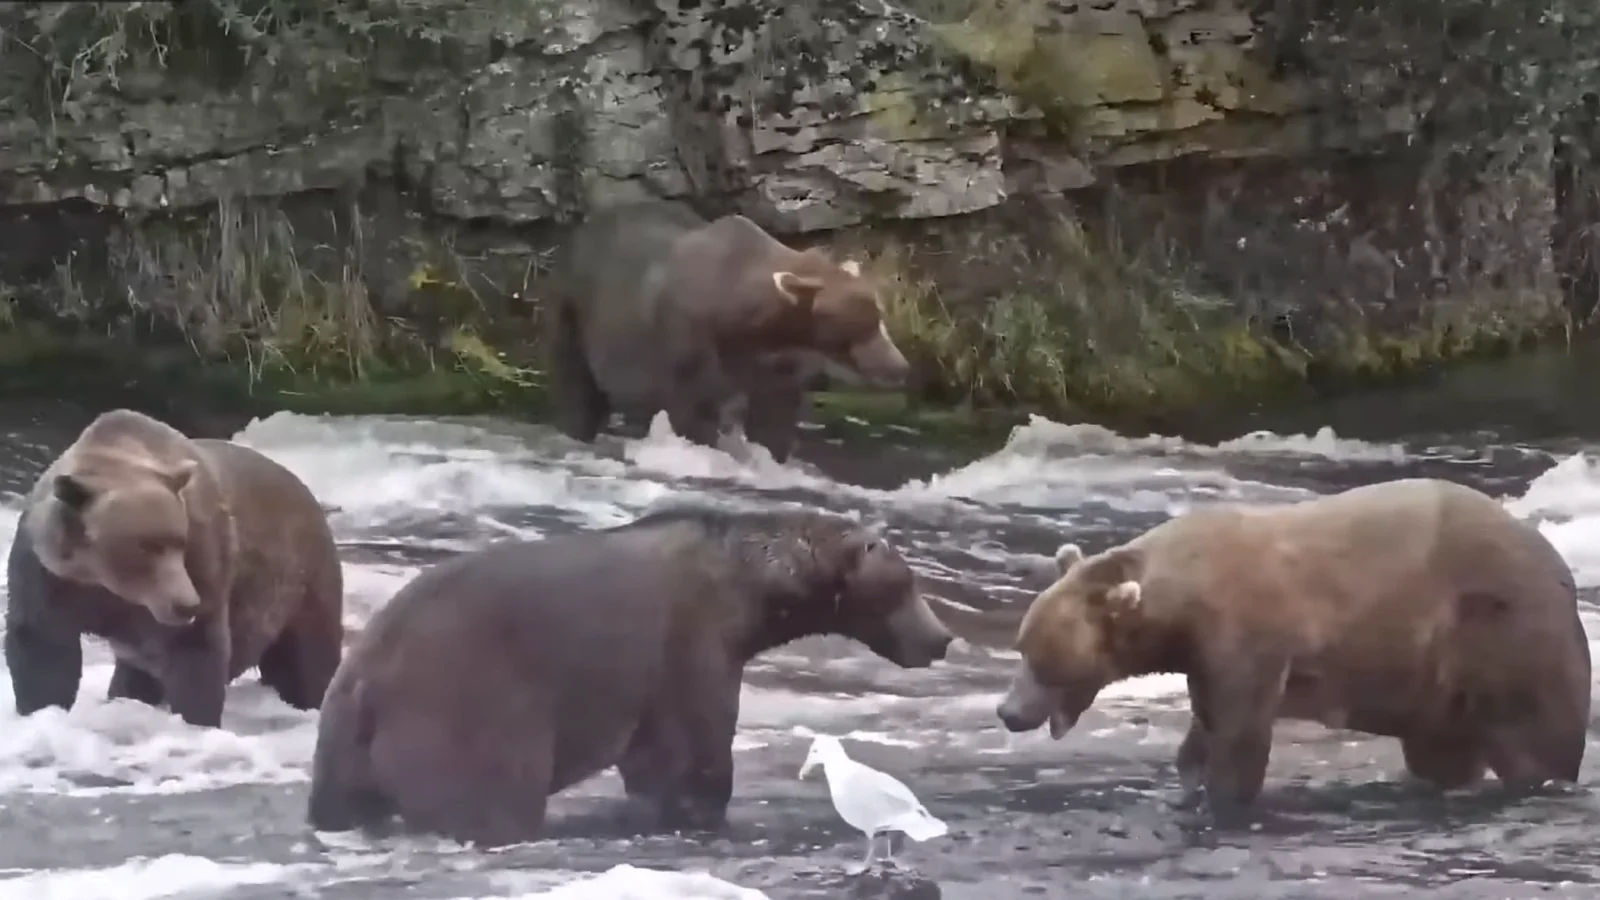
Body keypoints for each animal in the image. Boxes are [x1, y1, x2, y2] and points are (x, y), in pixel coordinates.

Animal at [4, 408, 345, 729]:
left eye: (178, 541)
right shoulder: (48, 573)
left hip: (300, 581)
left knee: (306, 659)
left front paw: (197, 717)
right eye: (146, 545)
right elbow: (43, 645)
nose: (186, 604)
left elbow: (195, 648)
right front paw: (41, 709)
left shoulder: (202, 558)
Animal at [305, 505, 955, 846]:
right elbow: (694, 755)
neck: (755, 594)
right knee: (489, 799)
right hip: (466, 711)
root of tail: (368, 682)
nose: (943, 638)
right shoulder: (689, 647)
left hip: (342, 744)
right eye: (906, 585)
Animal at [544, 200, 911, 463]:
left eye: (878, 316)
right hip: (574, 309)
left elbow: (773, 419)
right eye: (860, 324)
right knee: (578, 385)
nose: (900, 367)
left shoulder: (776, 367)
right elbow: (692, 412)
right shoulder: (688, 341)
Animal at [995, 477, 1591, 822]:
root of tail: (1561, 570)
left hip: (1507, 636)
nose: (1007, 711)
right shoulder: (1204, 657)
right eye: (1020, 646)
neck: (1183, 604)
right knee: (1441, 751)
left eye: (1040, 658)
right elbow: (1204, 727)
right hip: (1438, 689)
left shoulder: (1248, 636)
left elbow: (1239, 735)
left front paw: (1222, 798)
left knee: (1536, 738)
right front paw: (1183, 784)